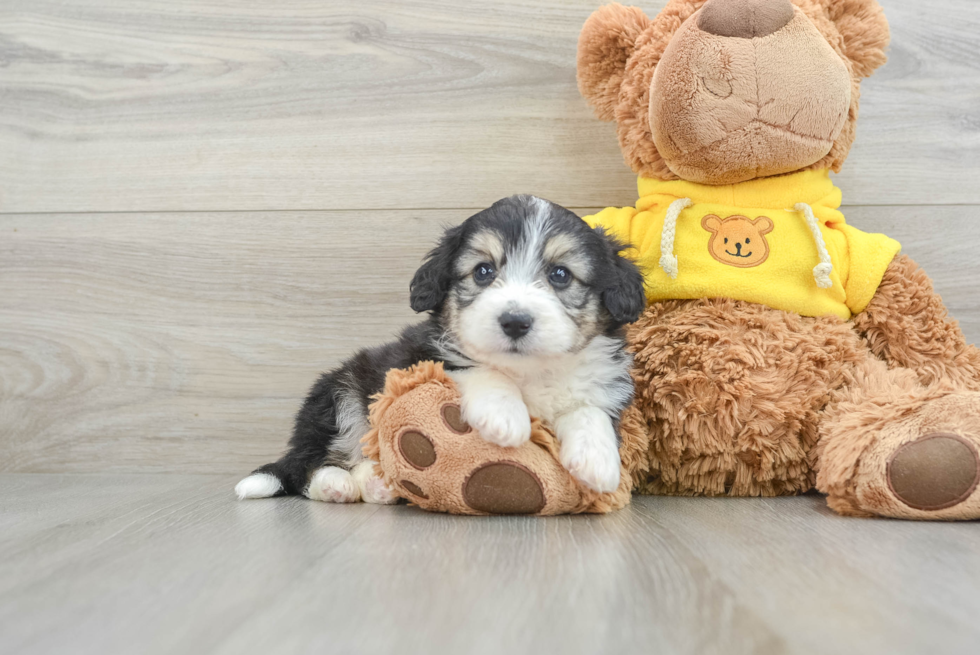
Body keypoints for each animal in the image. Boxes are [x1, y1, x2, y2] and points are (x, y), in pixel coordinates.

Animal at [234, 193, 648, 502]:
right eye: (483, 271)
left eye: (560, 275)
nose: (515, 321)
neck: (527, 371)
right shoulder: (422, 357)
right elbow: (476, 367)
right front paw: (504, 416)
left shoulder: (599, 381)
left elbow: (588, 409)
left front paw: (598, 461)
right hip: (339, 396)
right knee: (309, 464)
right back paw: (336, 484)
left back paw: (377, 484)